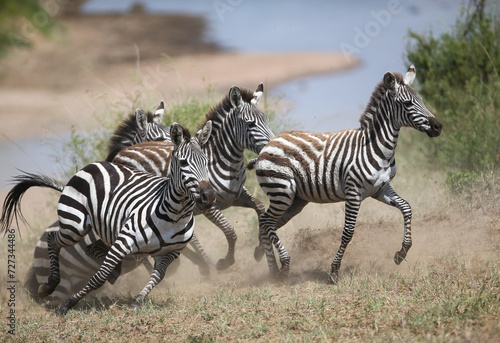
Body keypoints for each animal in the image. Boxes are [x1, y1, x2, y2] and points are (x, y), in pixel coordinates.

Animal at [0, 122, 215, 316]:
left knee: (91, 247)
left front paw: (137, 302)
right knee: (53, 240)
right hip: (74, 226)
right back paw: (49, 285)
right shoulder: (124, 242)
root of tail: (94, 165)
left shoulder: (170, 253)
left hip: (102, 229)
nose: (208, 196)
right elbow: (99, 277)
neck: (175, 213)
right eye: (184, 163)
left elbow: (157, 277)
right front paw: (66, 306)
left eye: (207, 162)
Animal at [254, 66, 442, 282]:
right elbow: (348, 232)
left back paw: (268, 265)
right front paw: (334, 271)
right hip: (281, 191)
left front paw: (402, 252)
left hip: (295, 199)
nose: (438, 127)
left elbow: (407, 208)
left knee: (269, 224)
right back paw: (282, 266)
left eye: (421, 100)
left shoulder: (380, 189)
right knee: (266, 222)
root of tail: (270, 143)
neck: (377, 147)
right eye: (408, 103)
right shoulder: (353, 192)